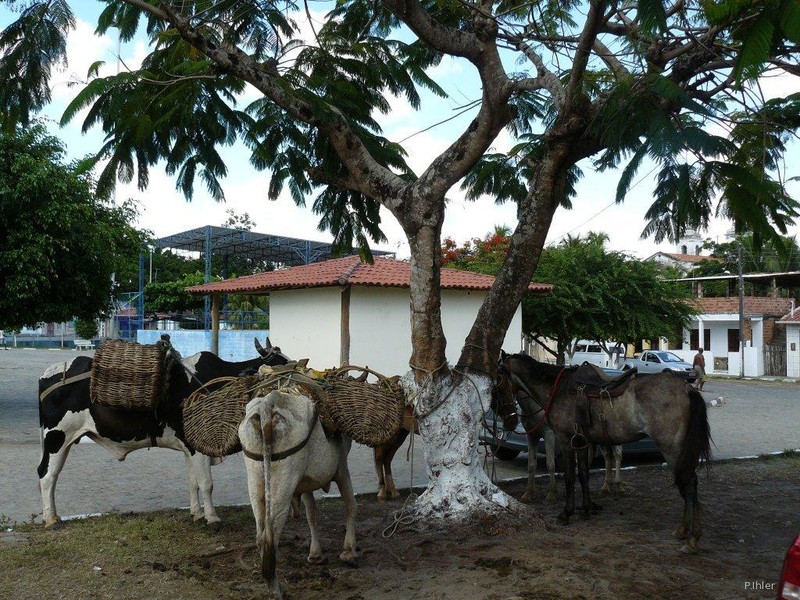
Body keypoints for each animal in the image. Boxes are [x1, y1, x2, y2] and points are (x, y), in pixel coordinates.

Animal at [37, 336, 290, 528]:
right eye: (277, 370)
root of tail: (47, 374)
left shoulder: (188, 448)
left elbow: (192, 481)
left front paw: (197, 513)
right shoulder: (198, 447)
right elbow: (206, 483)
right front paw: (212, 518)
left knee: (52, 474)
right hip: (57, 438)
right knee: (46, 474)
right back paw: (51, 519)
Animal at [500, 352, 712, 552]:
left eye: (499, 376)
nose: (507, 418)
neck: (557, 390)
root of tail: (687, 389)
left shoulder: (566, 440)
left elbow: (569, 476)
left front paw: (566, 513)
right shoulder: (582, 442)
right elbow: (583, 474)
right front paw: (586, 509)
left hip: (672, 448)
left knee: (689, 484)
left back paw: (692, 538)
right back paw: (684, 531)